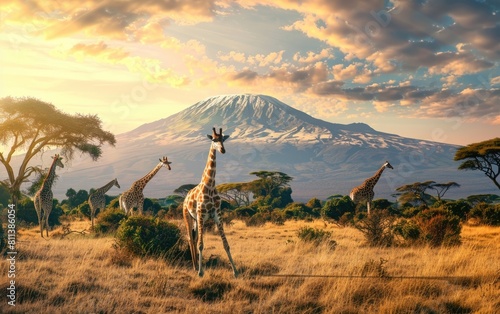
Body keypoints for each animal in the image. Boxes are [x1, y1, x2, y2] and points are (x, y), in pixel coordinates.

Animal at [184, 127, 238, 278]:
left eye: (223, 139)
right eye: (214, 139)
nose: (222, 150)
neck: (210, 185)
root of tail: (184, 198)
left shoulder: (217, 215)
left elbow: (226, 244)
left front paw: (235, 271)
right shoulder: (202, 214)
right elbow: (201, 244)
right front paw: (201, 272)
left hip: (196, 219)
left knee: (194, 238)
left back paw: (196, 265)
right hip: (188, 216)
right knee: (191, 239)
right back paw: (195, 267)